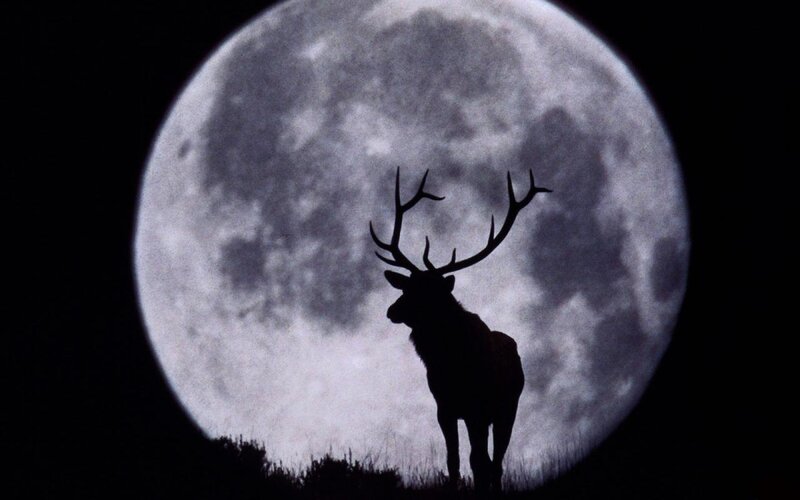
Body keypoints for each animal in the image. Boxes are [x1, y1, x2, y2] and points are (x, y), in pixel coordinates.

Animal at [370, 167, 551, 492]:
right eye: (406, 287)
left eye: (429, 292)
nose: (392, 311)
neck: (450, 362)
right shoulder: (445, 407)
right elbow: (453, 461)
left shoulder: (478, 407)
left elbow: (478, 462)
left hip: (507, 409)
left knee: (495, 462)